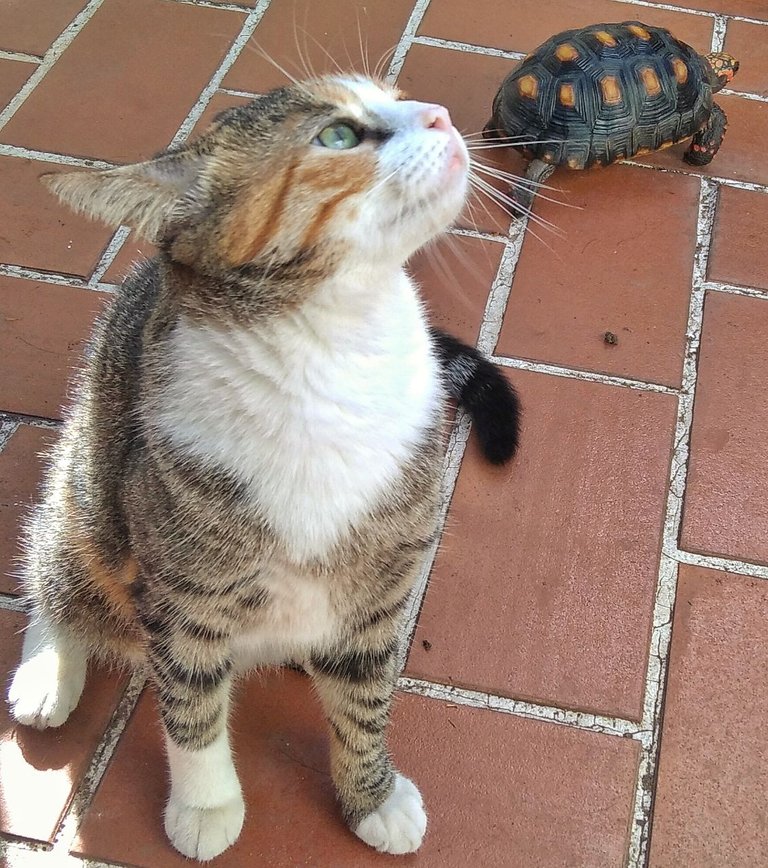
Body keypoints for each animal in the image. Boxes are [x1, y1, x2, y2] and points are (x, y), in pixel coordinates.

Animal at [6, 74, 520, 860]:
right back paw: (48, 671)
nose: (438, 114)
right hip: (88, 489)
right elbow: (191, 708)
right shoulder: (183, 595)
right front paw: (207, 805)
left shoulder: (383, 583)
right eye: (337, 136)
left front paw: (370, 796)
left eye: (395, 93)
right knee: (57, 566)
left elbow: (365, 699)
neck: (329, 355)